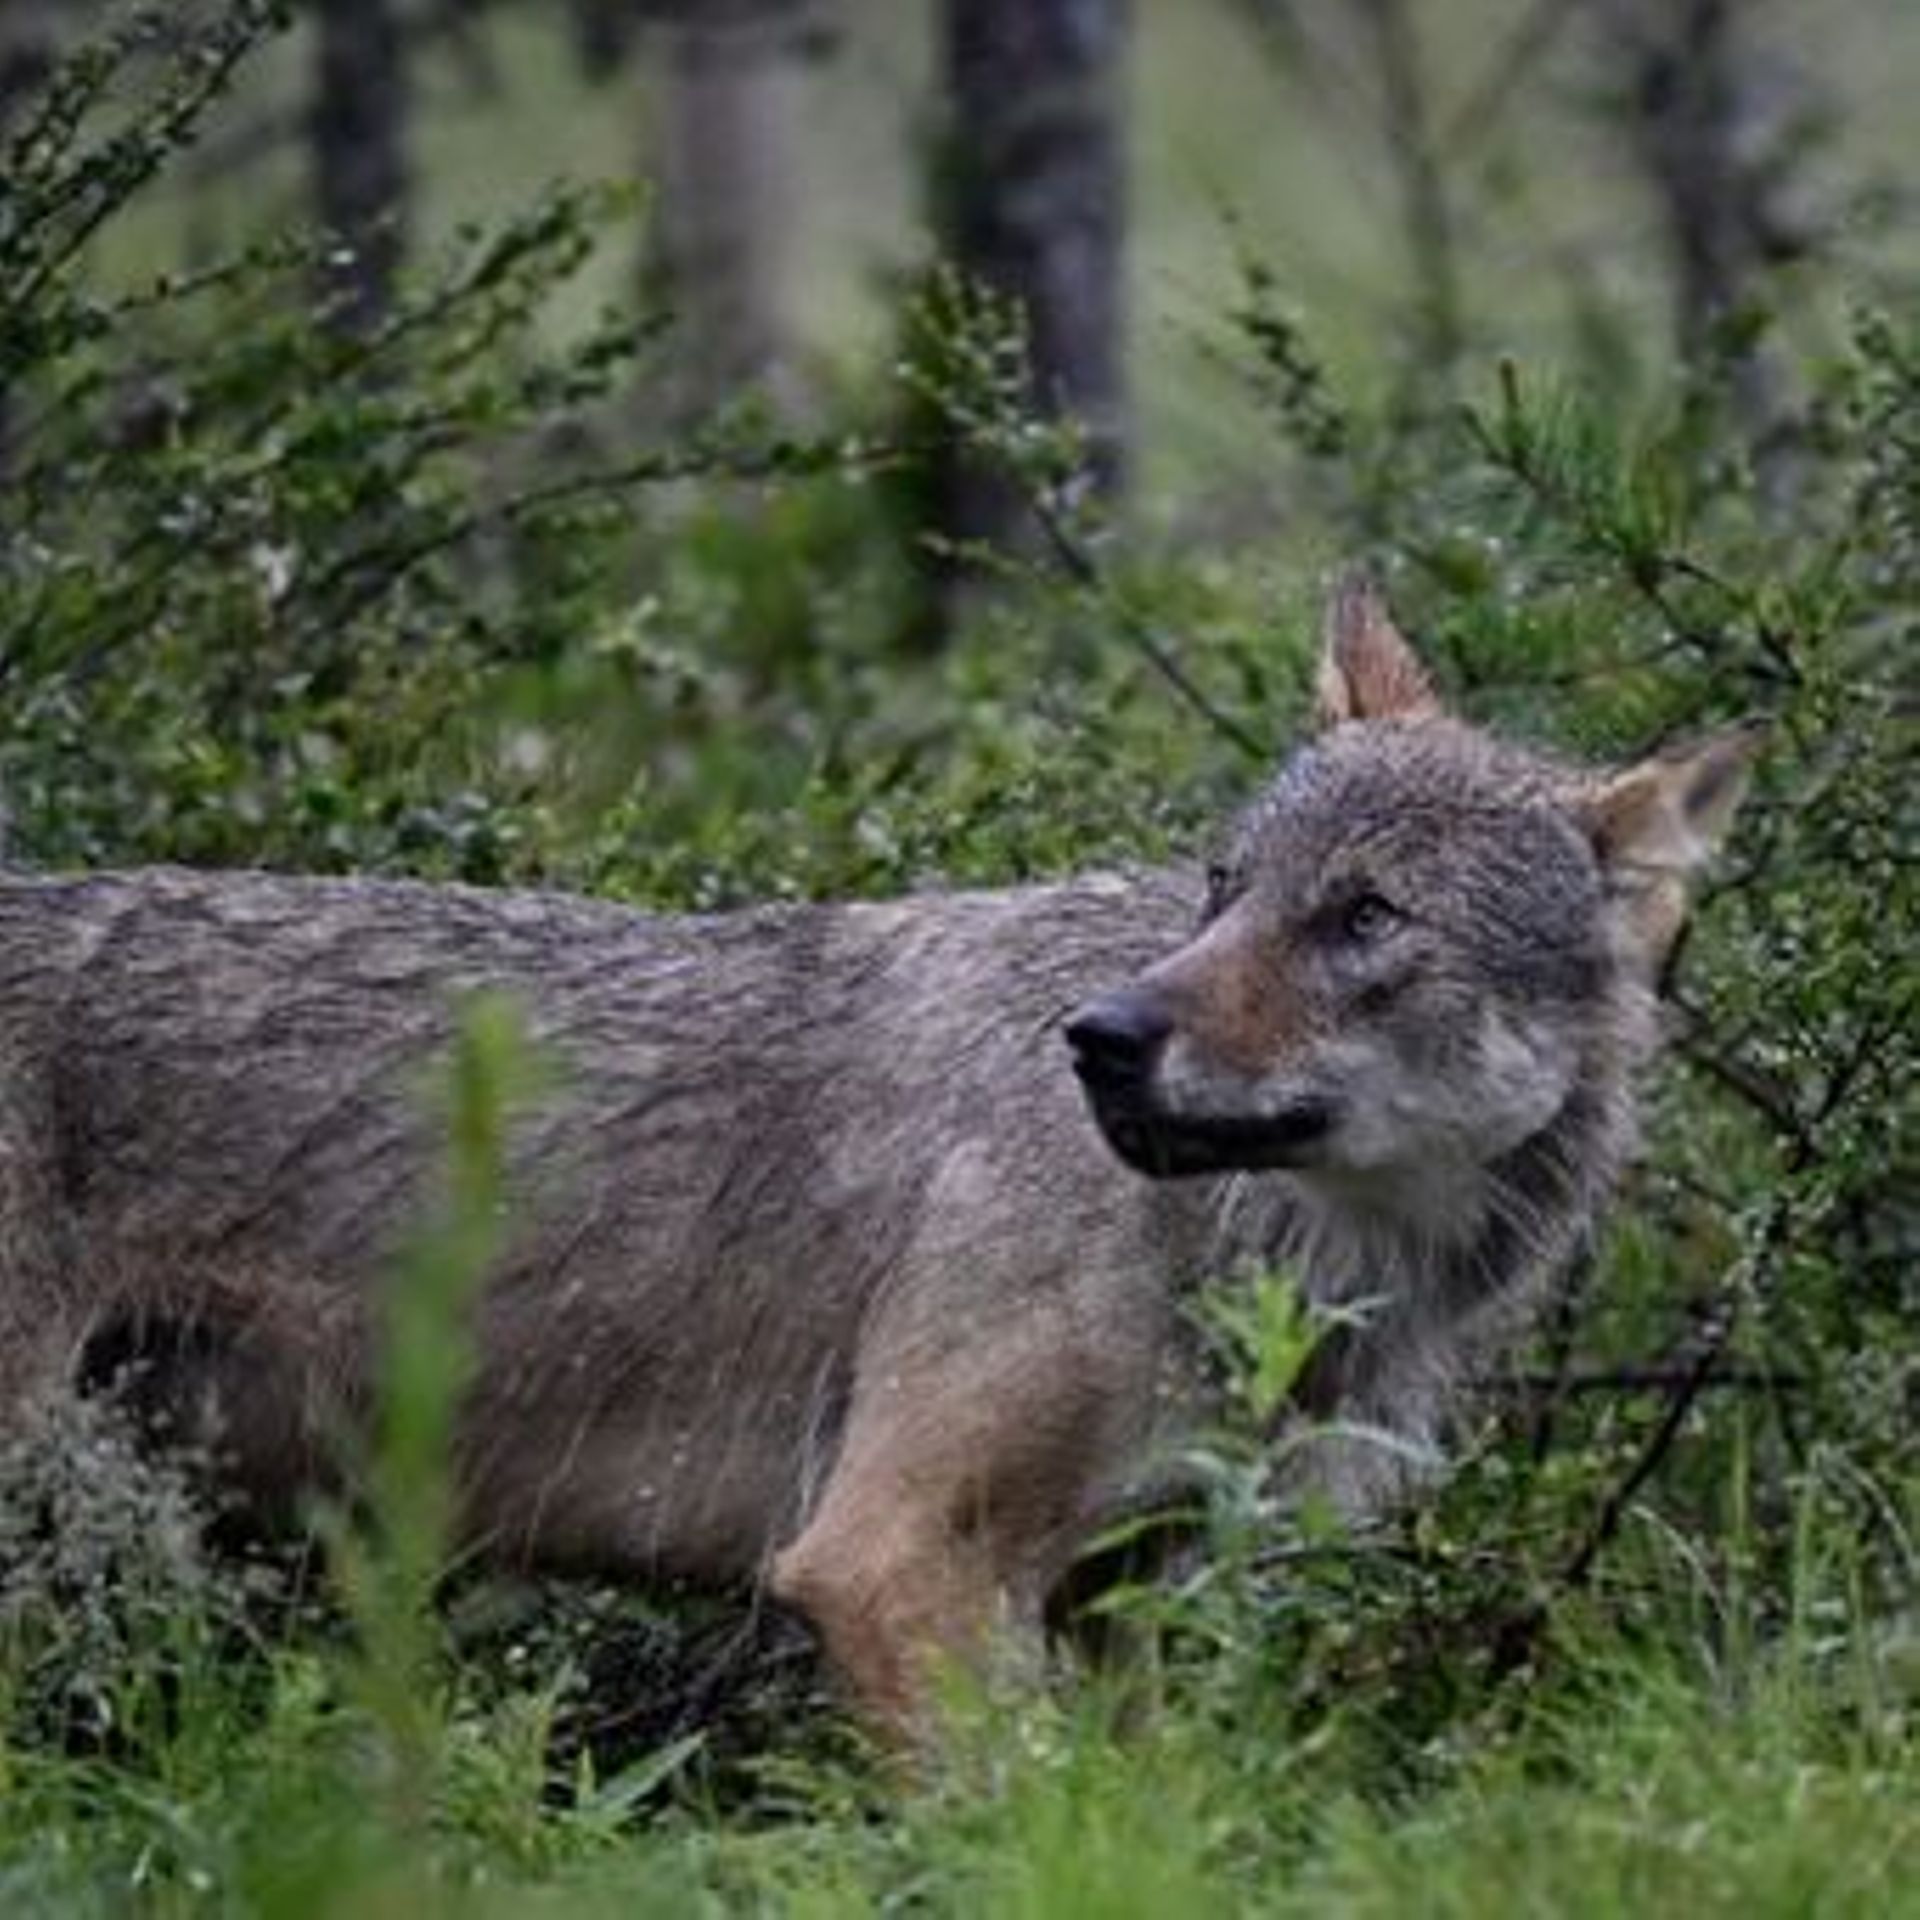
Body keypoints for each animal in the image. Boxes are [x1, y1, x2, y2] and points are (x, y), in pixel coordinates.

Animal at [0, 576, 1758, 1735]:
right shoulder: (892, 1561)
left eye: (1365, 920)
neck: (1299, 1267)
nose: (1101, 1037)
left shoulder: (1137, 1605)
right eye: (1226, 886)